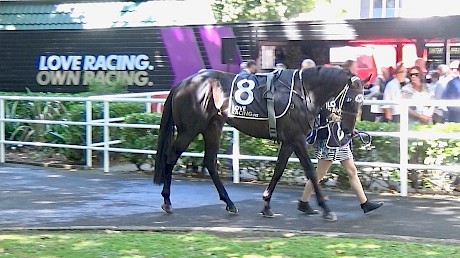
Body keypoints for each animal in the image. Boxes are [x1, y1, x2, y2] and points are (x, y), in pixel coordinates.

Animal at [154, 66, 366, 220]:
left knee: (210, 162)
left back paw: (230, 203)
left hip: (212, 127)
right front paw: (326, 208)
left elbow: (279, 170)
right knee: (171, 157)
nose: (348, 130)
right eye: (349, 99)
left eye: (361, 101)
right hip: (189, 130)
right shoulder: (297, 139)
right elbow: (310, 171)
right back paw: (167, 201)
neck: (303, 93)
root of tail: (183, 83)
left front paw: (266, 205)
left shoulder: (289, 141)